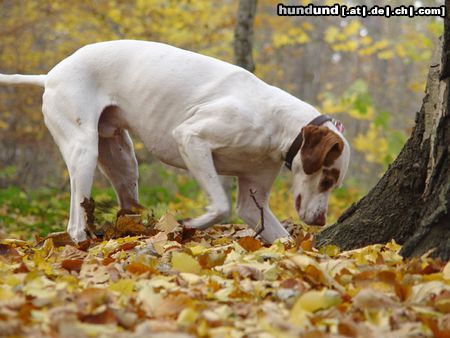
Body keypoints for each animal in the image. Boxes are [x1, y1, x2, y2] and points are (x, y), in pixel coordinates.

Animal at [0, 40, 352, 243]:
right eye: (327, 179)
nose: (320, 221)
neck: (277, 123)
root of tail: (50, 75)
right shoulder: (192, 138)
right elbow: (220, 206)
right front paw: (193, 222)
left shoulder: (254, 202)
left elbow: (280, 238)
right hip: (84, 151)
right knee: (75, 223)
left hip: (123, 162)